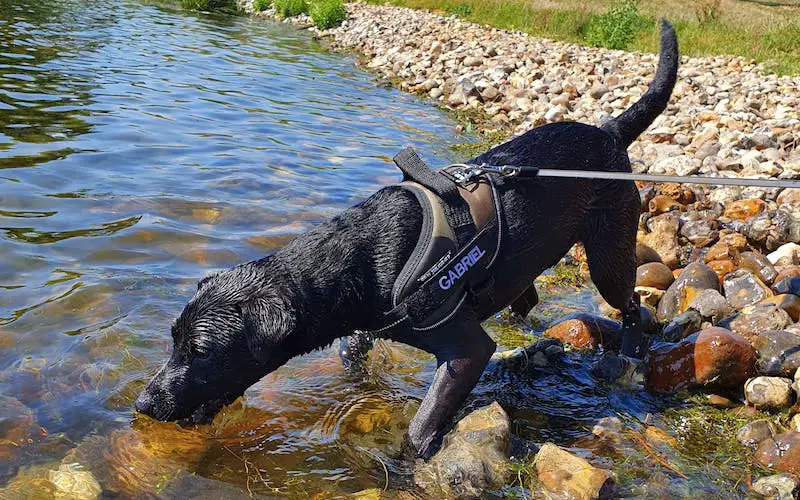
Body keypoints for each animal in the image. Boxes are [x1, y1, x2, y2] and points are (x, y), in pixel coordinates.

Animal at [136, 20, 676, 458]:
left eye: (200, 352)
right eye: (172, 340)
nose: (143, 401)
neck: (358, 265)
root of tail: (610, 133)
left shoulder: (465, 351)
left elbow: (422, 424)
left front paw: (407, 460)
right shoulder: (365, 326)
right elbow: (353, 354)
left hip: (609, 252)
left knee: (633, 306)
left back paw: (628, 353)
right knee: (529, 296)